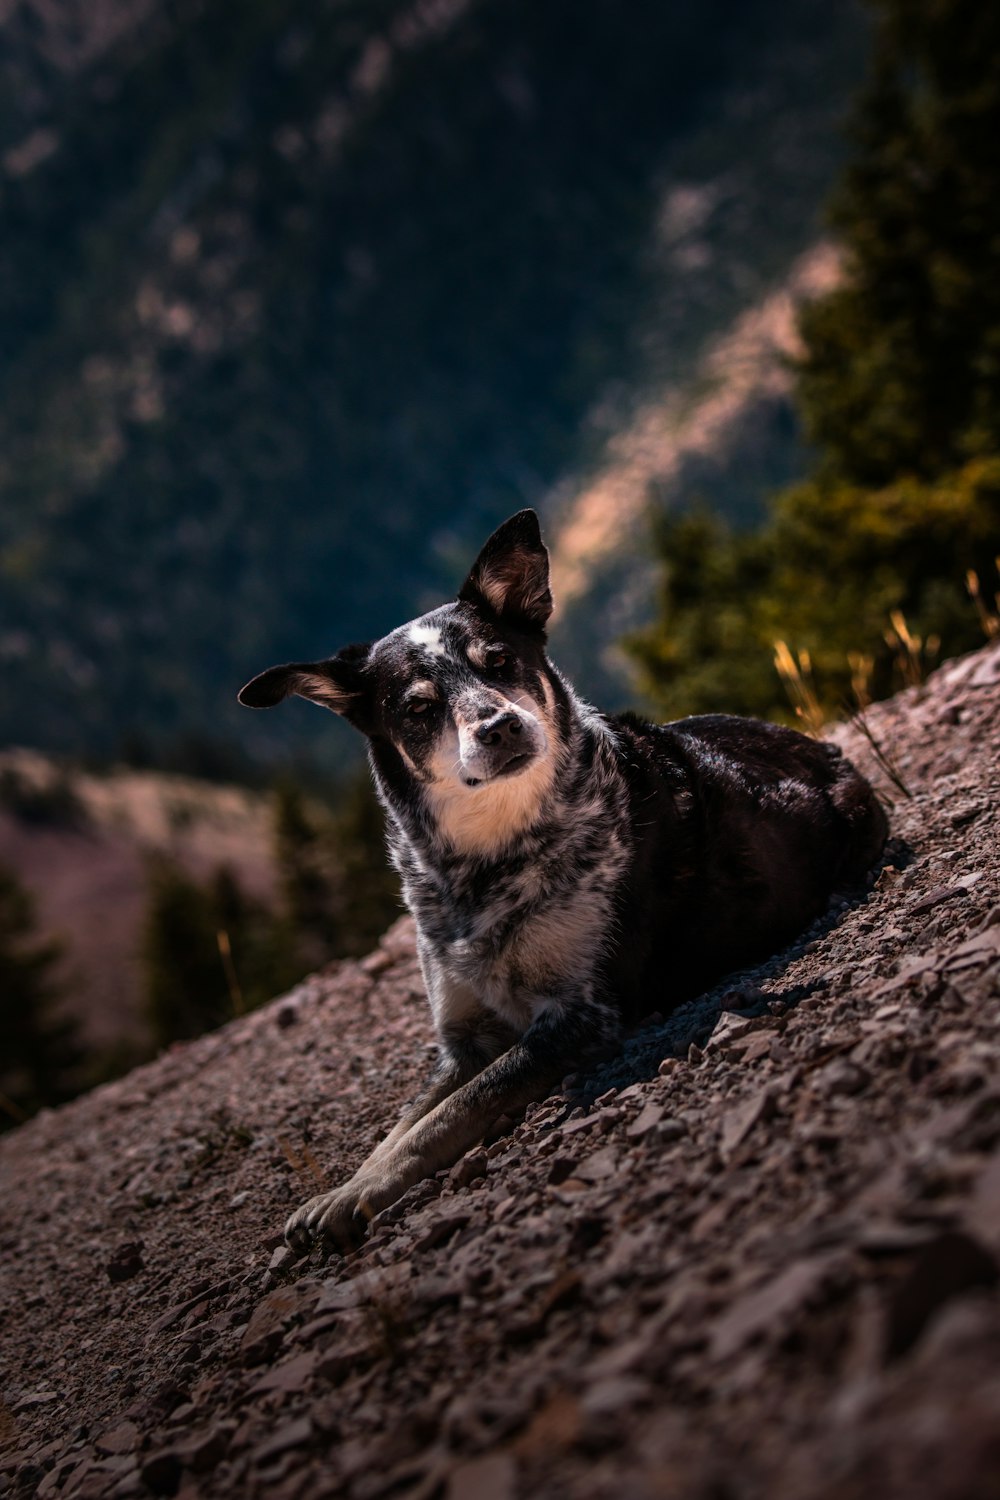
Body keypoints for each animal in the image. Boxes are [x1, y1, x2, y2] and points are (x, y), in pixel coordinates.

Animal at [238, 510, 887, 1248]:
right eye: (417, 708)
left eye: (499, 662)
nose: (497, 725)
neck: (486, 865)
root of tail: (821, 743)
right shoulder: (461, 1040)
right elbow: (406, 1121)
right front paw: (344, 1187)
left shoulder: (580, 1016)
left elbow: (453, 1112)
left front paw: (357, 1195)